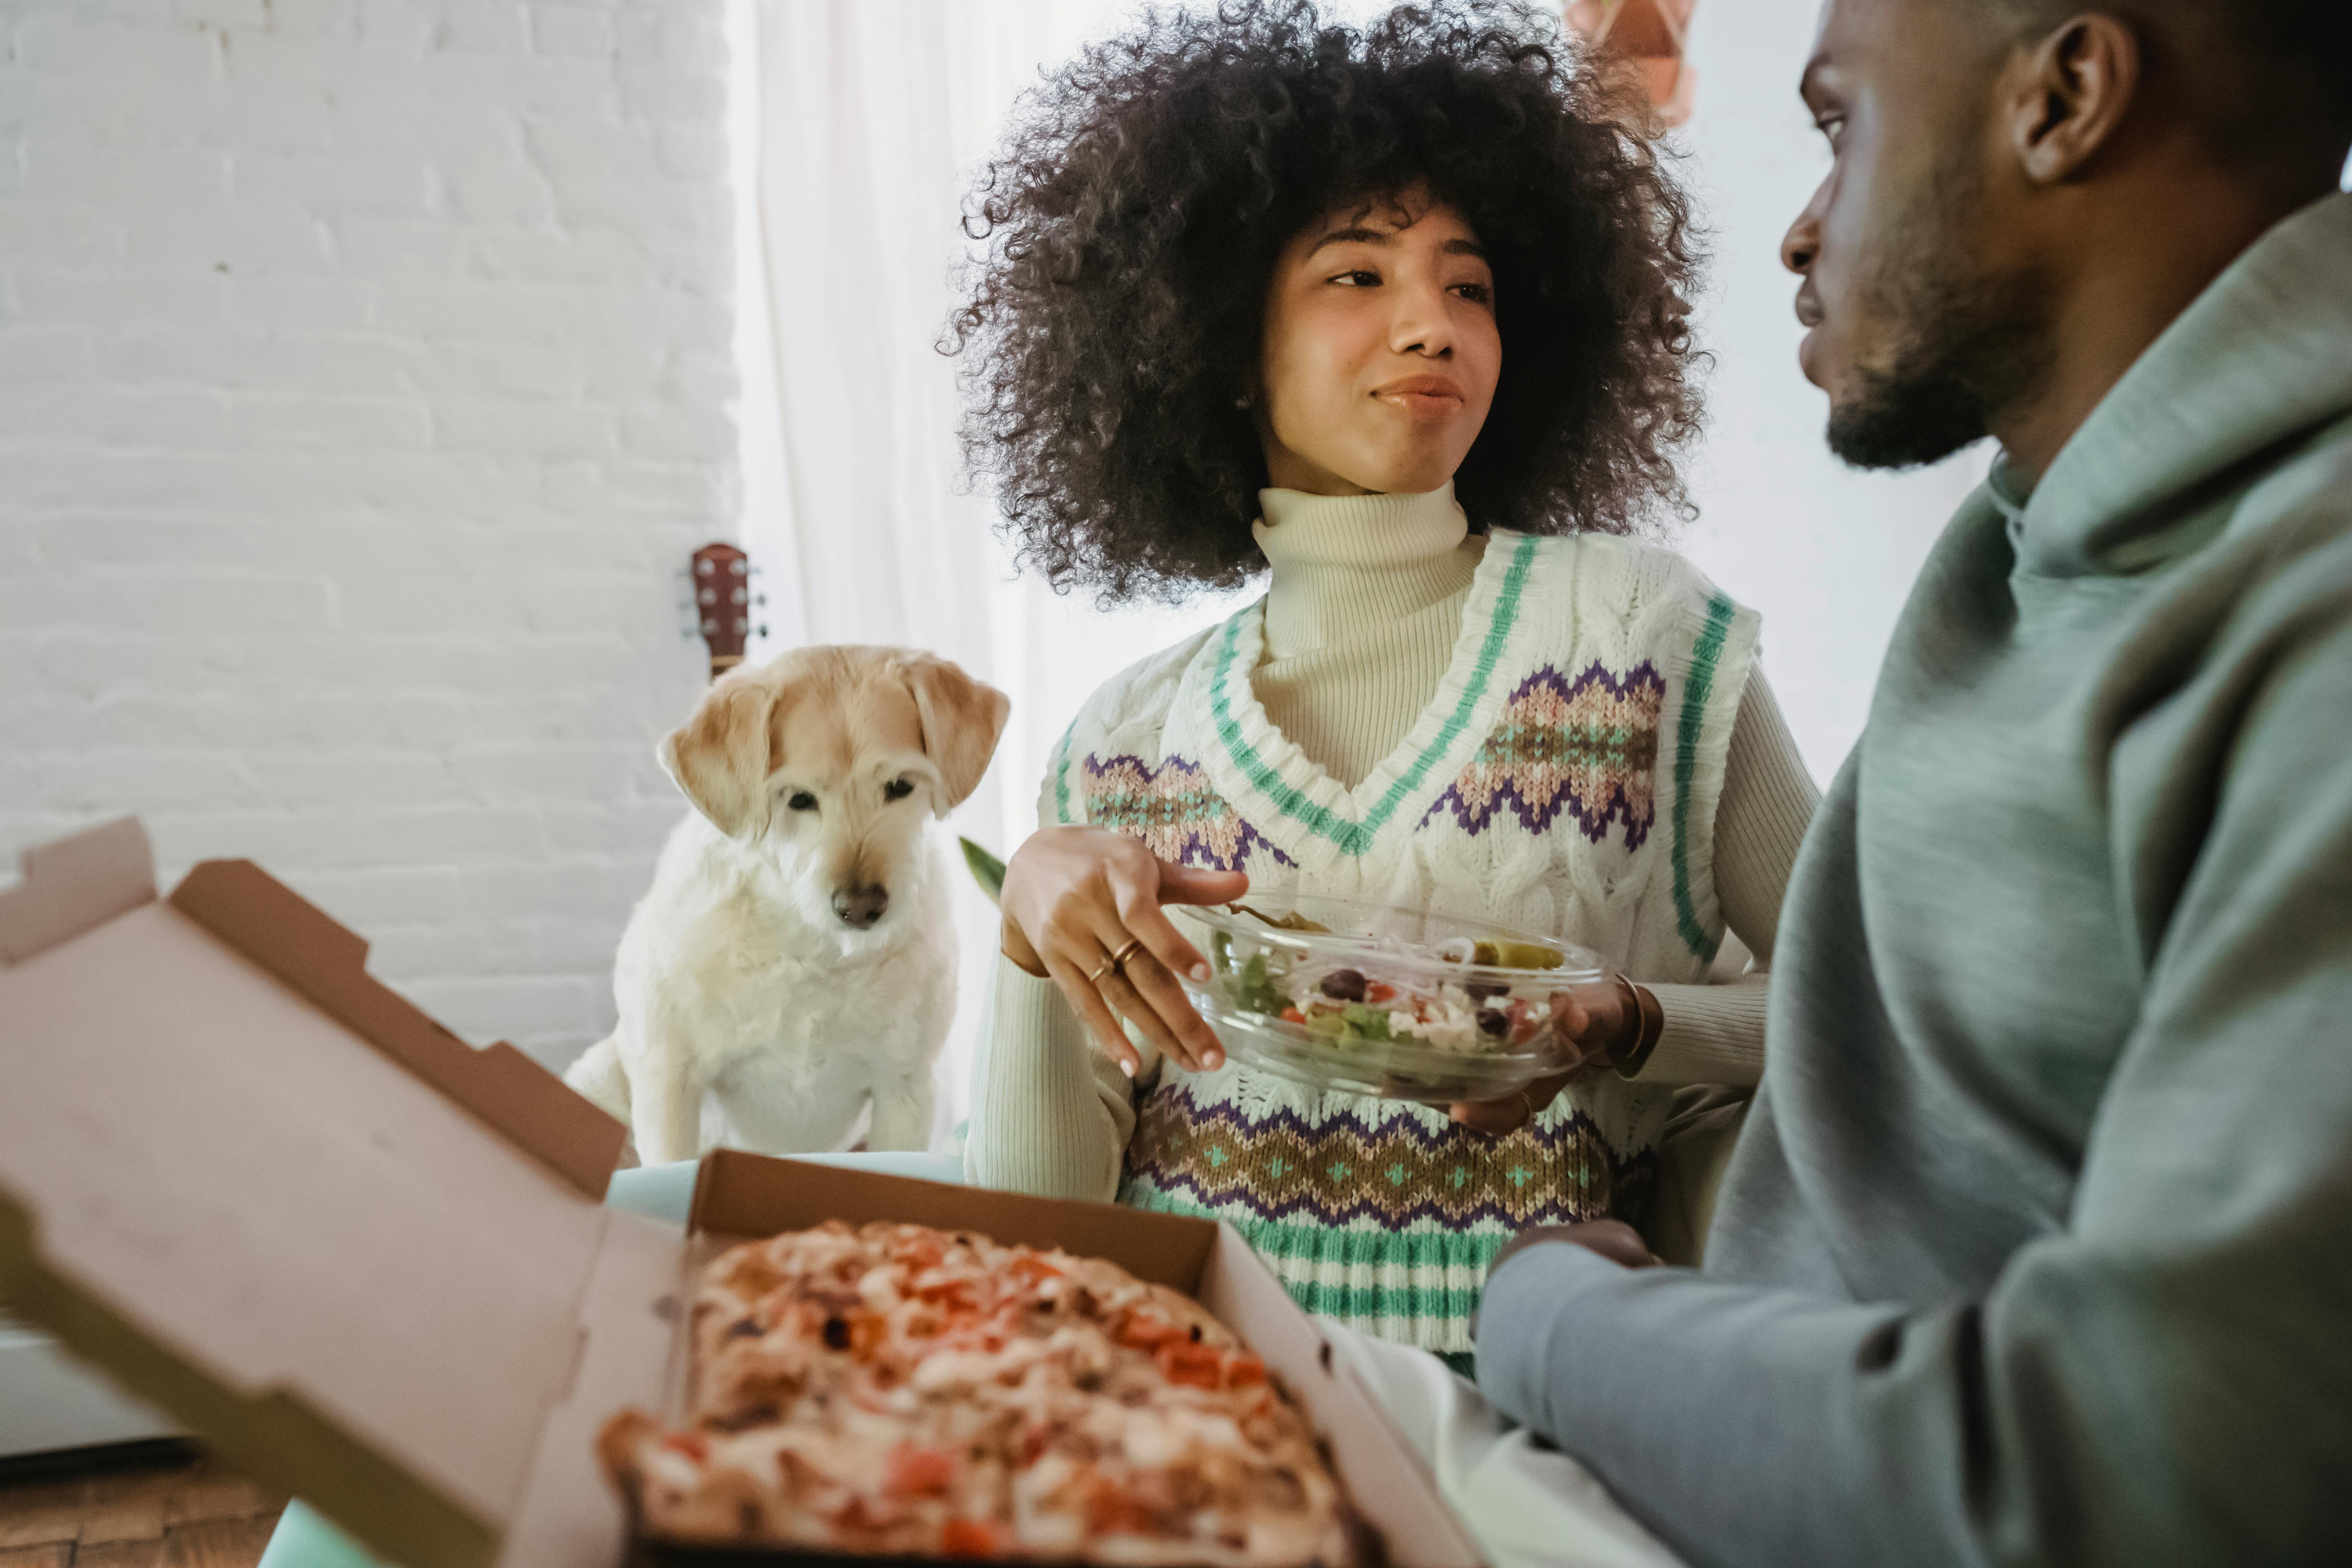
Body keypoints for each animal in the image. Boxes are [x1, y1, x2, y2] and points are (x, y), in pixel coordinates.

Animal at [574, 644, 1016, 1171]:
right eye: (799, 799)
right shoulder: (669, 1079)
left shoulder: (905, 1088)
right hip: (597, 1075)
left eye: (900, 786)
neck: (811, 947)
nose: (861, 907)